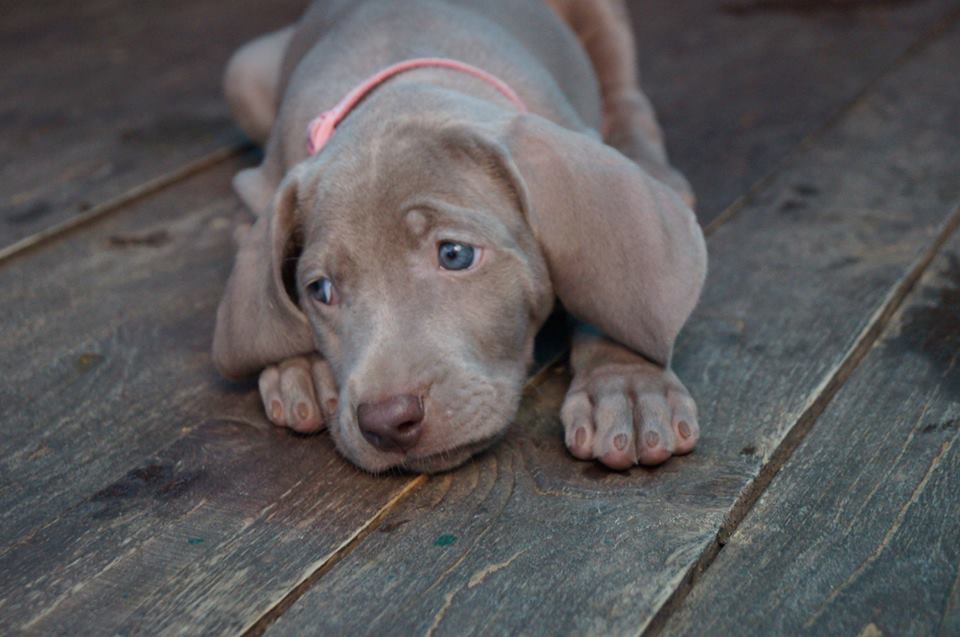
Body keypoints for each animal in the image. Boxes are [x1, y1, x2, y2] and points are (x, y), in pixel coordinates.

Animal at [213, 0, 707, 473]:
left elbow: (607, 294)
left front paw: (628, 385)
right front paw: (297, 365)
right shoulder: (265, 183)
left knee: (625, 93)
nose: (387, 421)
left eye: (454, 254)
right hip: (242, 70)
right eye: (321, 290)